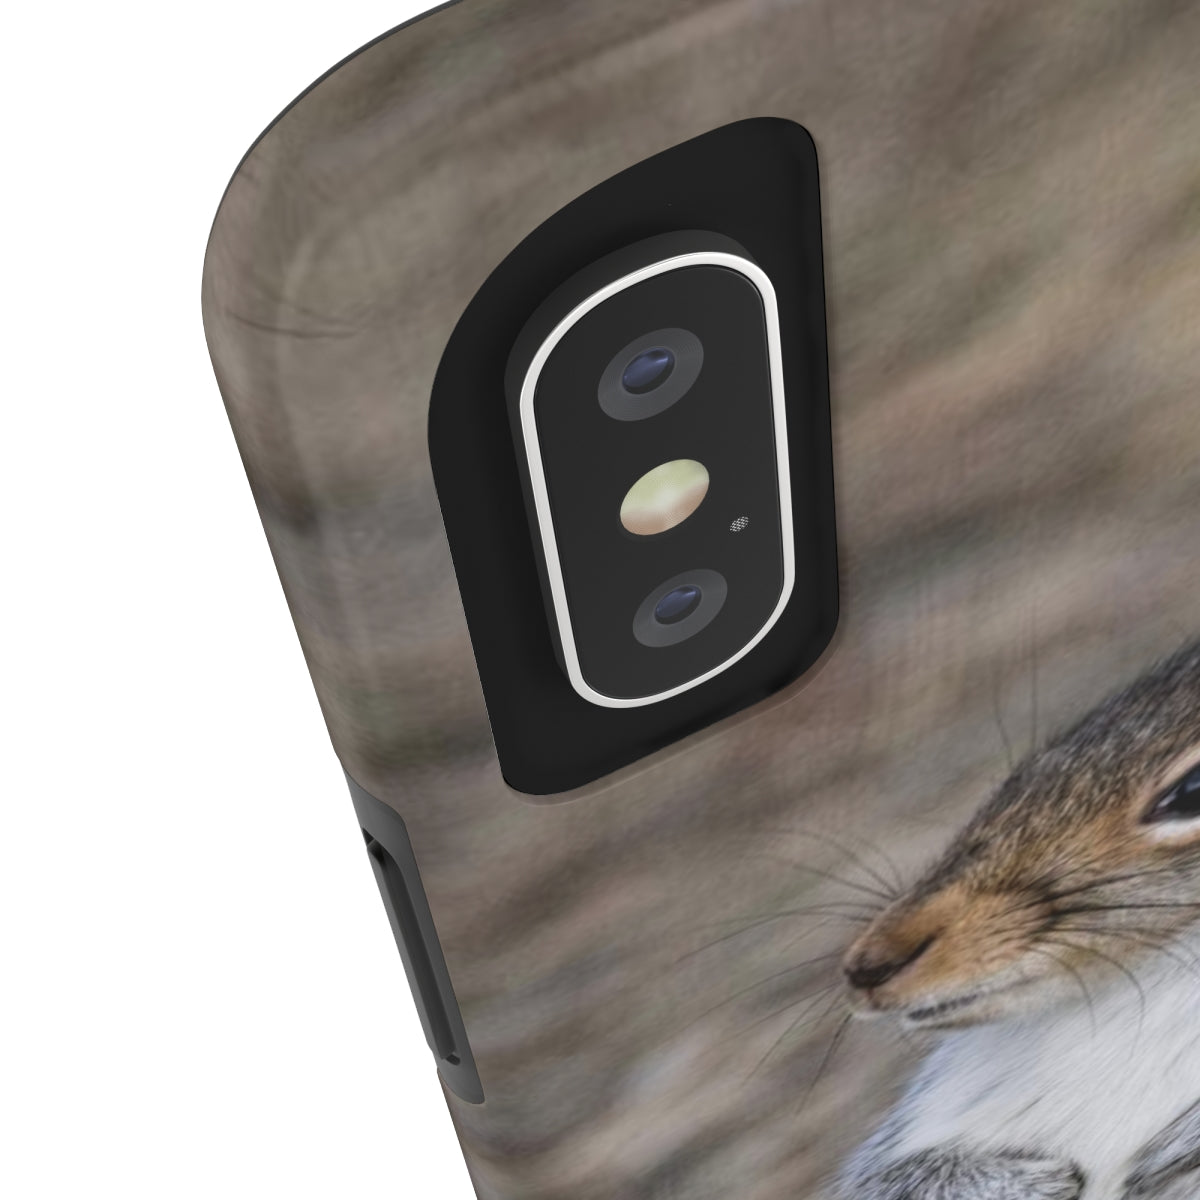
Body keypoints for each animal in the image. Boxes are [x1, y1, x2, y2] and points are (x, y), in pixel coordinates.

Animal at [837, 641, 1200, 1200]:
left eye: (1195, 790)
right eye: (1025, 769)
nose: (869, 966)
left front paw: (1185, 1142)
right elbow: (879, 1183)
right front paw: (1005, 1179)